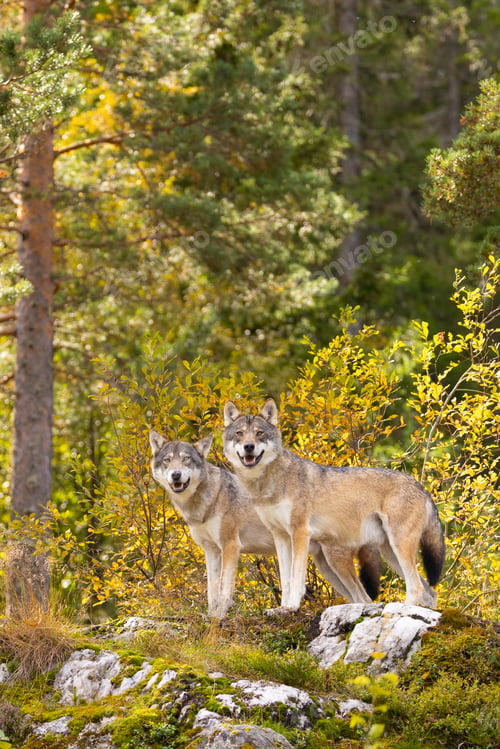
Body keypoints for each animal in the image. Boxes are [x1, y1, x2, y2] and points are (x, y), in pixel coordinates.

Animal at [149, 430, 381, 618]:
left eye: (186, 459)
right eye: (167, 461)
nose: (176, 475)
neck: (205, 501)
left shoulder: (230, 546)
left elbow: (224, 590)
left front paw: (219, 617)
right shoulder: (211, 550)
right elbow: (211, 591)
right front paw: (210, 616)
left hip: (335, 563)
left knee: (365, 598)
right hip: (326, 568)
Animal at [223, 399, 445, 613]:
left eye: (259, 433)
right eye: (239, 434)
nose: (248, 446)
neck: (269, 484)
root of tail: (420, 486)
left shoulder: (300, 533)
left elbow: (296, 578)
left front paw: (293, 606)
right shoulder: (281, 537)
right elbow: (285, 580)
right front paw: (282, 608)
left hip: (396, 547)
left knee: (416, 586)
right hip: (387, 552)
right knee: (429, 592)